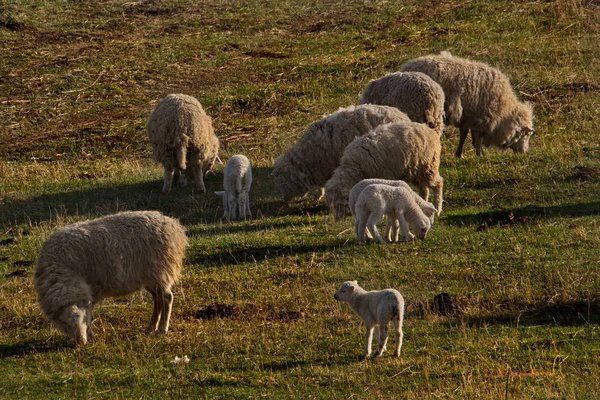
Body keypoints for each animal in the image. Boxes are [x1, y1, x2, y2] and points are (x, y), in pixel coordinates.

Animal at [32, 211, 188, 346]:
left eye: (82, 317)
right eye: (64, 323)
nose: (81, 342)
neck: (60, 271)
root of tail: (173, 226)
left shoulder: (91, 288)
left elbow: (90, 311)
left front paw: (90, 333)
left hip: (159, 272)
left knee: (167, 298)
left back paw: (162, 329)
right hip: (151, 277)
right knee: (158, 300)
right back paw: (151, 327)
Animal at [398, 52, 536, 158]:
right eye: (526, 135)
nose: (524, 152)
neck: (504, 110)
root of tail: (405, 67)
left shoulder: (467, 117)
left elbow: (465, 134)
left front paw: (460, 153)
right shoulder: (480, 118)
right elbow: (477, 137)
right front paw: (479, 154)